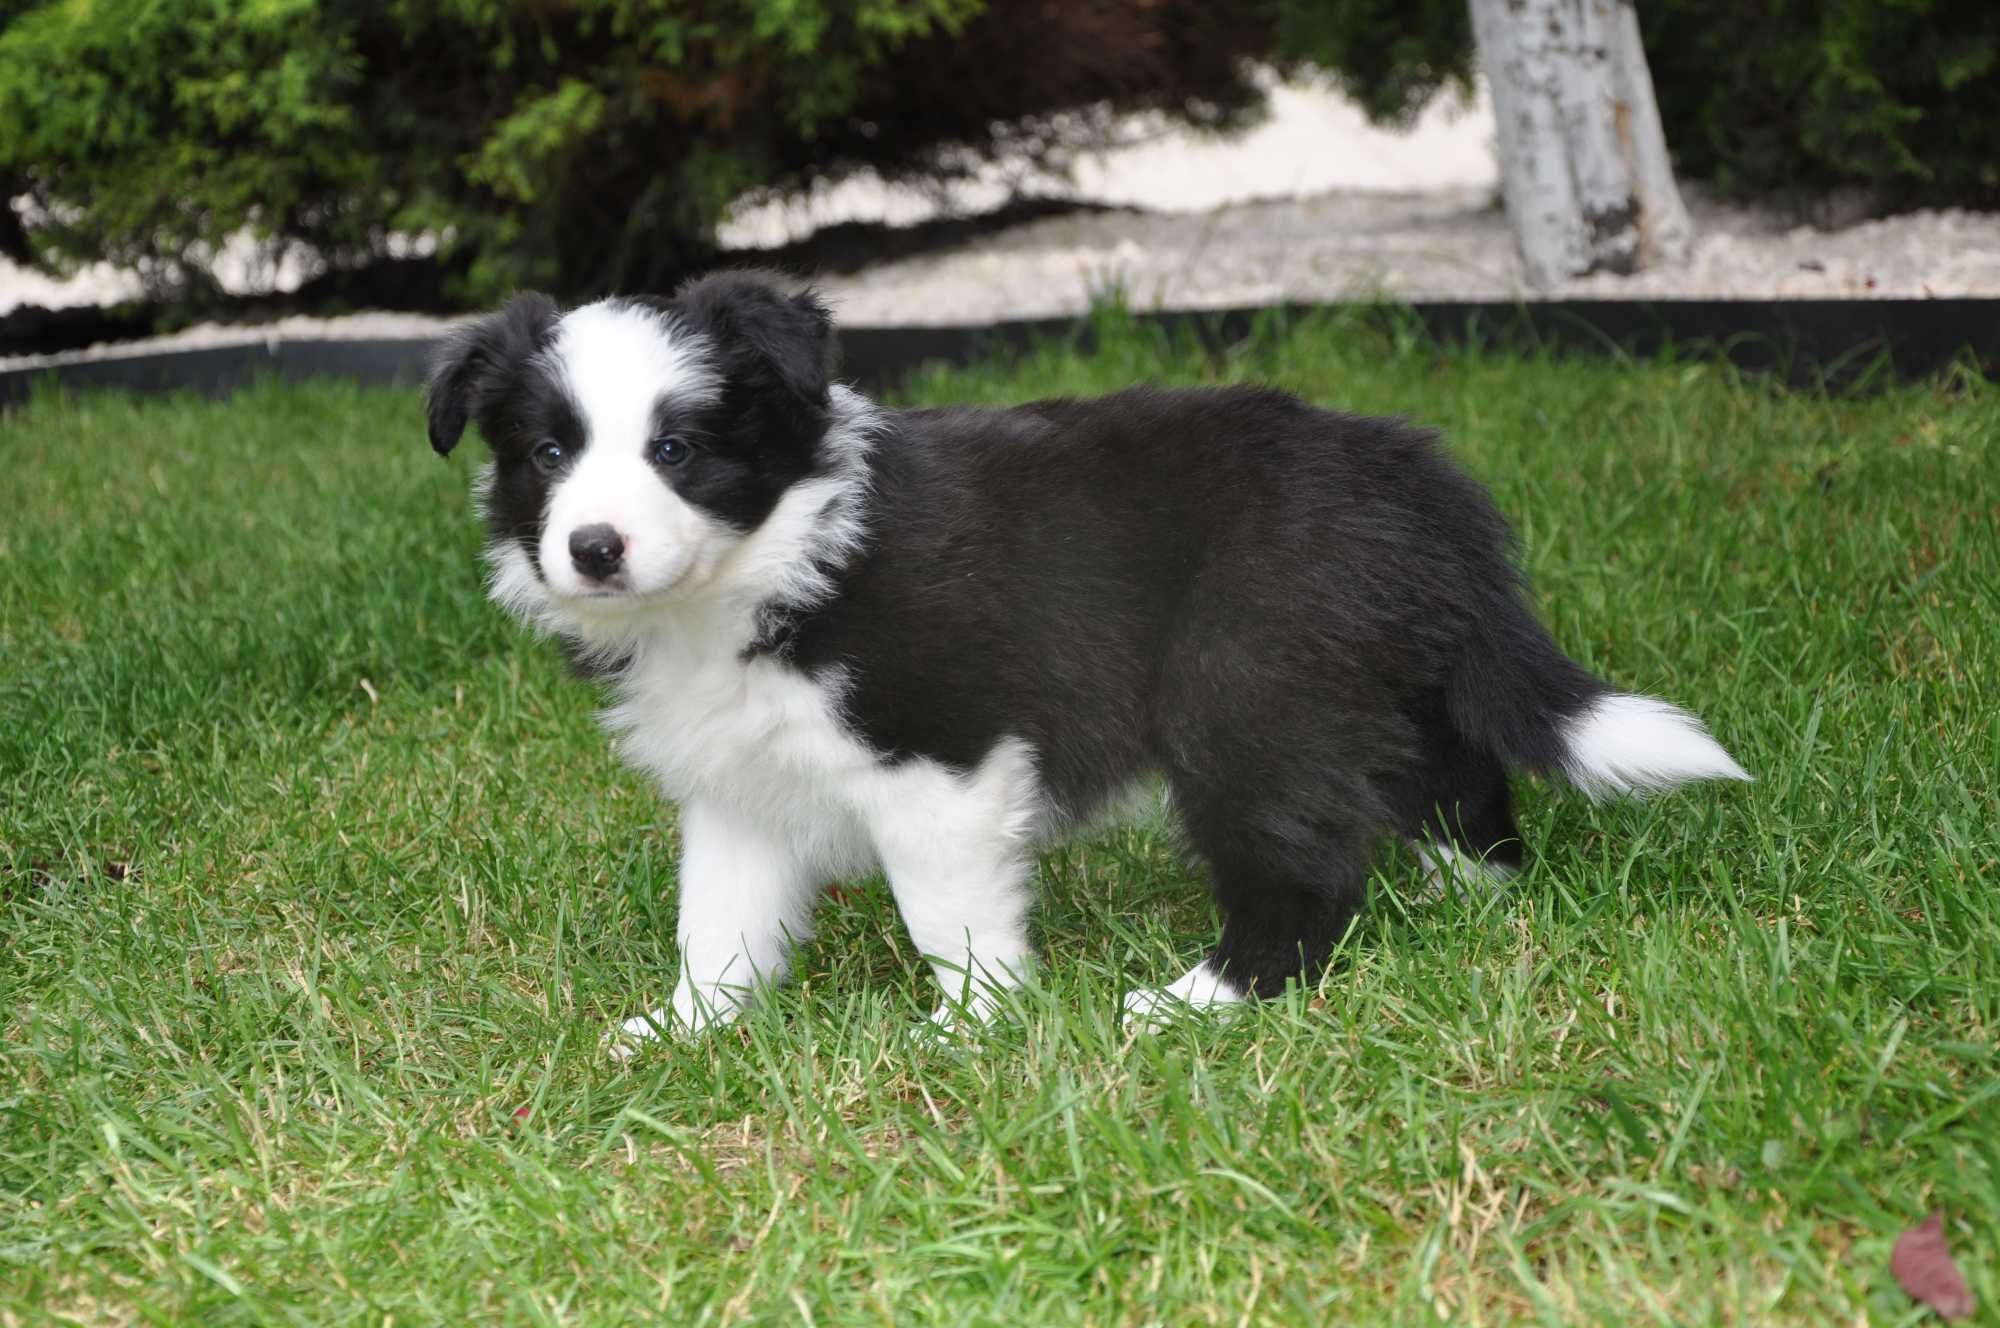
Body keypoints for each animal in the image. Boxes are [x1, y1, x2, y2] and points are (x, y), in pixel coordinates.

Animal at [426, 274, 1752, 1056]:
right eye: (546, 452)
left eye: (678, 448)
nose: (592, 549)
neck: (765, 562)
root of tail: (1401, 471)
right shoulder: (738, 781)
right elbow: (721, 917)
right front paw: (687, 1028)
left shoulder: (940, 759)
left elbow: (948, 912)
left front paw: (970, 1030)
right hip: (1365, 670)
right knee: (1449, 779)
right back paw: (1468, 897)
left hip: (1243, 686)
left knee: (1303, 866)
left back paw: (1199, 998)